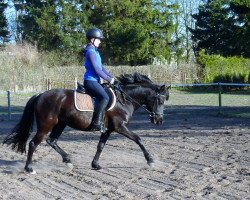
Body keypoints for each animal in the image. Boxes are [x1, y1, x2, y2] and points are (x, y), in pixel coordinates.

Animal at [2, 72, 169, 173]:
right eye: (160, 100)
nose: (159, 120)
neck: (124, 100)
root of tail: (41, 95)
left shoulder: (108, 130)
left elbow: (100, 146)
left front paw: (95, 165)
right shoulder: (120, 127)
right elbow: (138, 139)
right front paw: (150, 161)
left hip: (60, 124)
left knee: (52, 141)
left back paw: (68, 160)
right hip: (46, 125)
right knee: (33, 143)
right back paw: (29, 168)